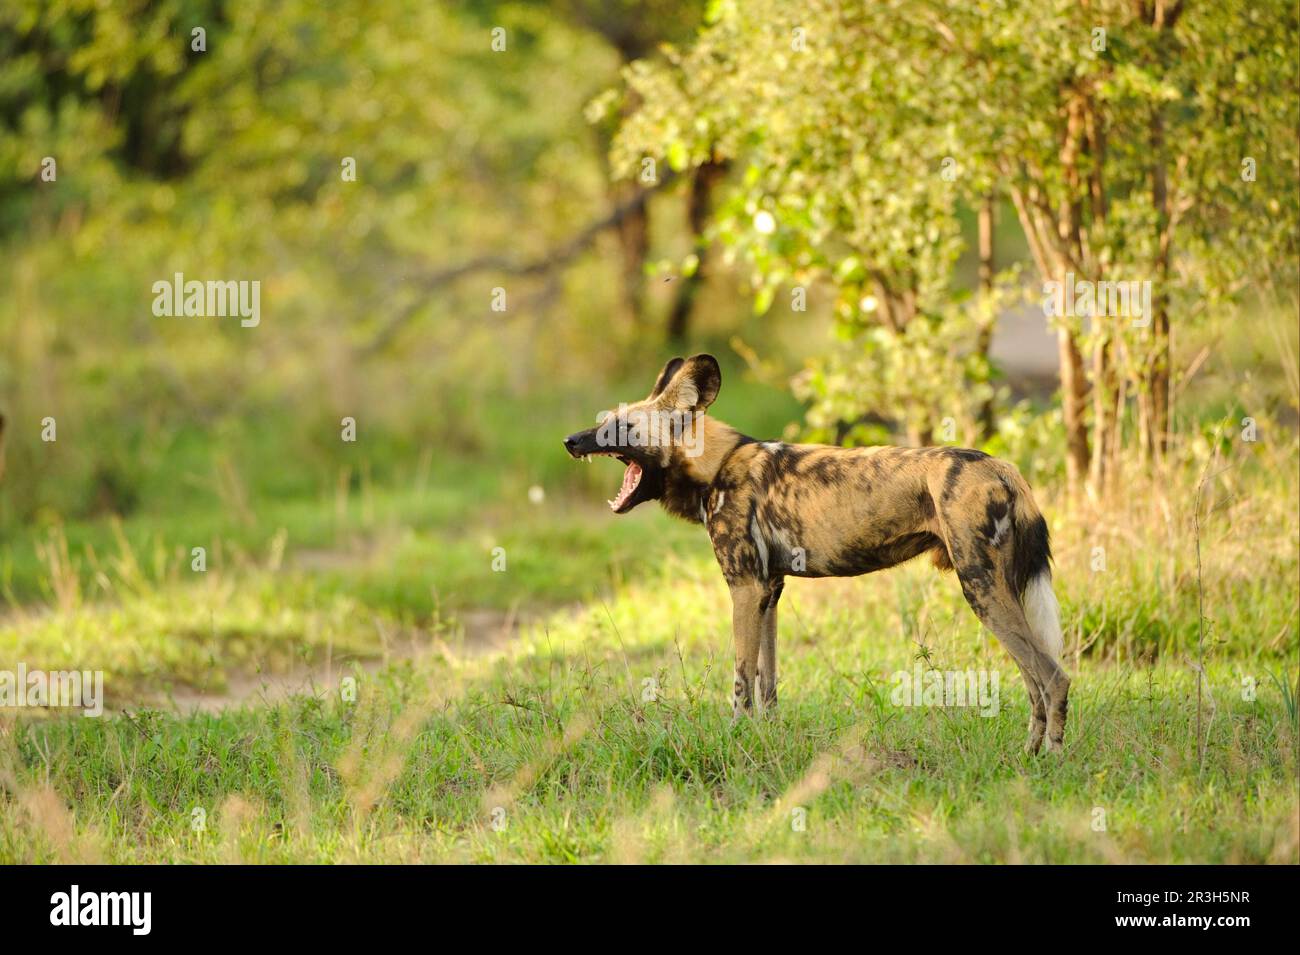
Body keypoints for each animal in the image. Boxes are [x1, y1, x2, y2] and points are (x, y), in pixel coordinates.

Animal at [564, 356, 1071, 748]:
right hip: (997, 590)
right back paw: (1027, 754)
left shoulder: (744, 589)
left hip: (980, 587)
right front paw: (767, 737)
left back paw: (1051, 758)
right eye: (605, 422)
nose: (571, 441)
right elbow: (767, 682)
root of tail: (1002, 466)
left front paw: (735, 736)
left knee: (1053, 677)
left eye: (621, 427)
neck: (715, 465)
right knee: (1035, 681)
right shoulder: (768, 591)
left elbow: (741, 680)